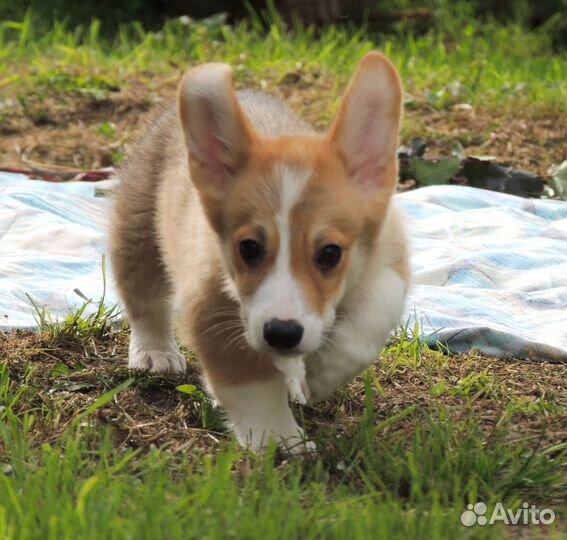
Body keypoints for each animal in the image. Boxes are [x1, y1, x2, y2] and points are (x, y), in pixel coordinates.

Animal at [111, 52, 410, 454]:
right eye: (249, 249)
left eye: (330, 254)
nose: (282, 334)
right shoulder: (211, 306)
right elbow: (251, 385)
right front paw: (279, 440)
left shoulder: (389, 259)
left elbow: (368, 323)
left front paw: (320, 373)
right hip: (138, 229)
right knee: (143, 296)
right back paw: (155, 352)